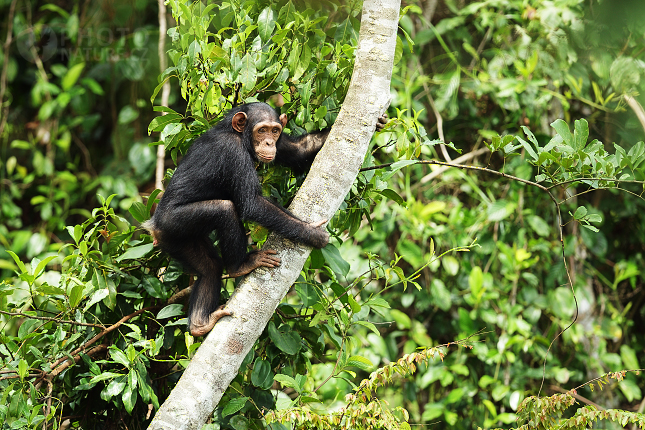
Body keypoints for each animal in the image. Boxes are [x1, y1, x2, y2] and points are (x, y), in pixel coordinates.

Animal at [145, 103, 388, 336]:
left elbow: (299, 150)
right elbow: (252, 203)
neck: (240, 136)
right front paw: (311, 233)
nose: (270, 142)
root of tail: (154, 227)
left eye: (274, 130)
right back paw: (240, 266)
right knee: (225, 210)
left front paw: (379, 122)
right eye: (261, 131)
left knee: (209, 267)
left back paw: (199, 325)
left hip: (178, 241)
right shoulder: (233, 153)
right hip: (175, 222)